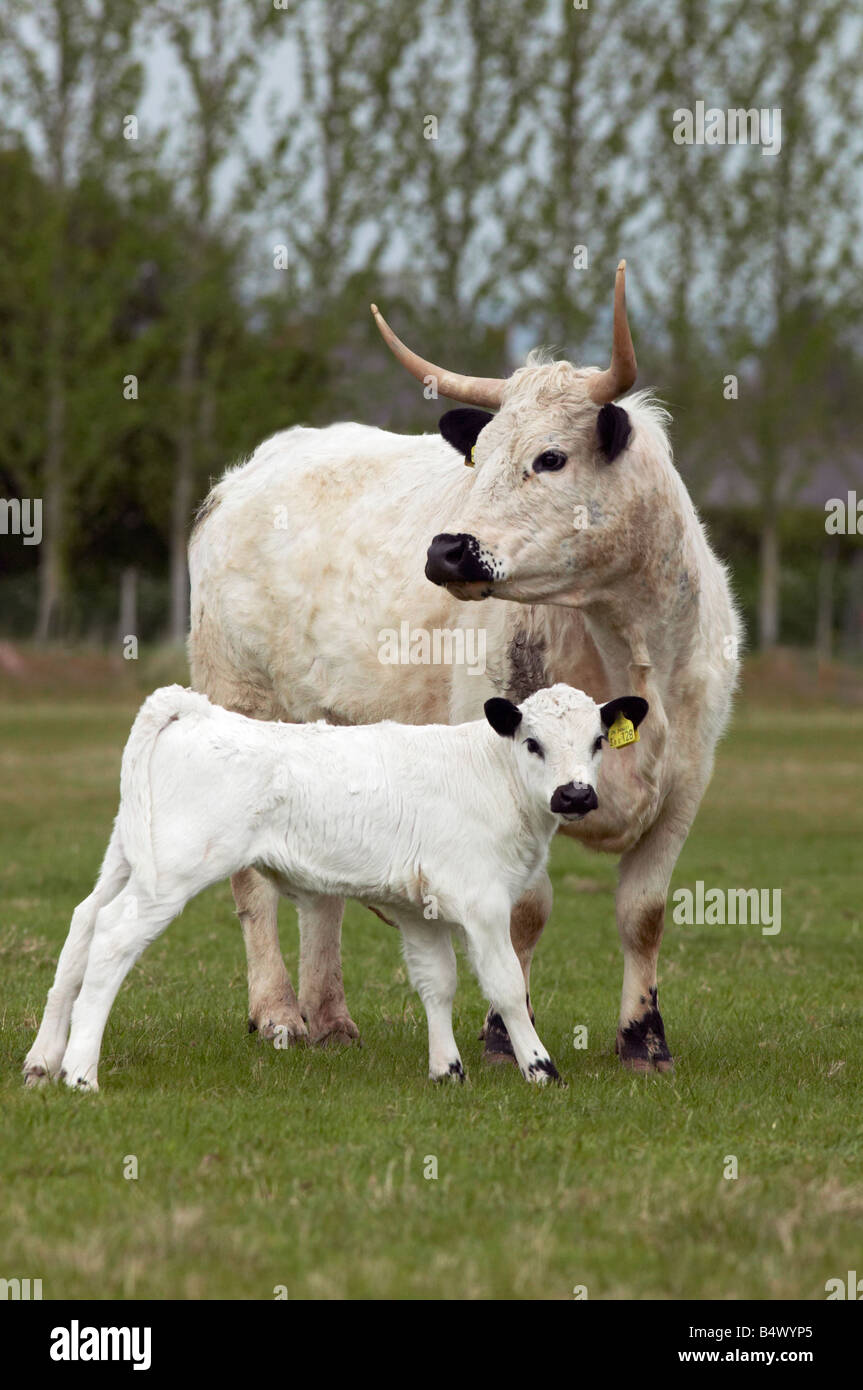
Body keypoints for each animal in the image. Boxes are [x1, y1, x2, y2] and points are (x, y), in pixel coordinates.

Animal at [22, 682, 648, 1092]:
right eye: (532, 743)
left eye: (597, 741)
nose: (575, 795)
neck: (489, 773)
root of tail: (193, 707)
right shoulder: (484, 903)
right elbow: (507, 987)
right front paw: (541, 1069)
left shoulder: (420, 910)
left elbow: (437, 984)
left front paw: (446, 1071)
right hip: (170, 874)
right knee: (110, 937)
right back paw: (80, 1073)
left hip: (129, 857)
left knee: (83, 924)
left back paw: (42, 1061)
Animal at [188, 262, 741, 1073]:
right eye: (478, 460)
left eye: (550, 457)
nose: (447, 550)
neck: (624, 641)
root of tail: (248, 475)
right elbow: (526, 915)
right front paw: (506, 1036)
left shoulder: (687, 782)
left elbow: (642, 914)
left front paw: (644, 1040)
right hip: (241, 709)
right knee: (254, 886)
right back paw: (280, 1013)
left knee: (321, 893)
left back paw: (331, 1019)